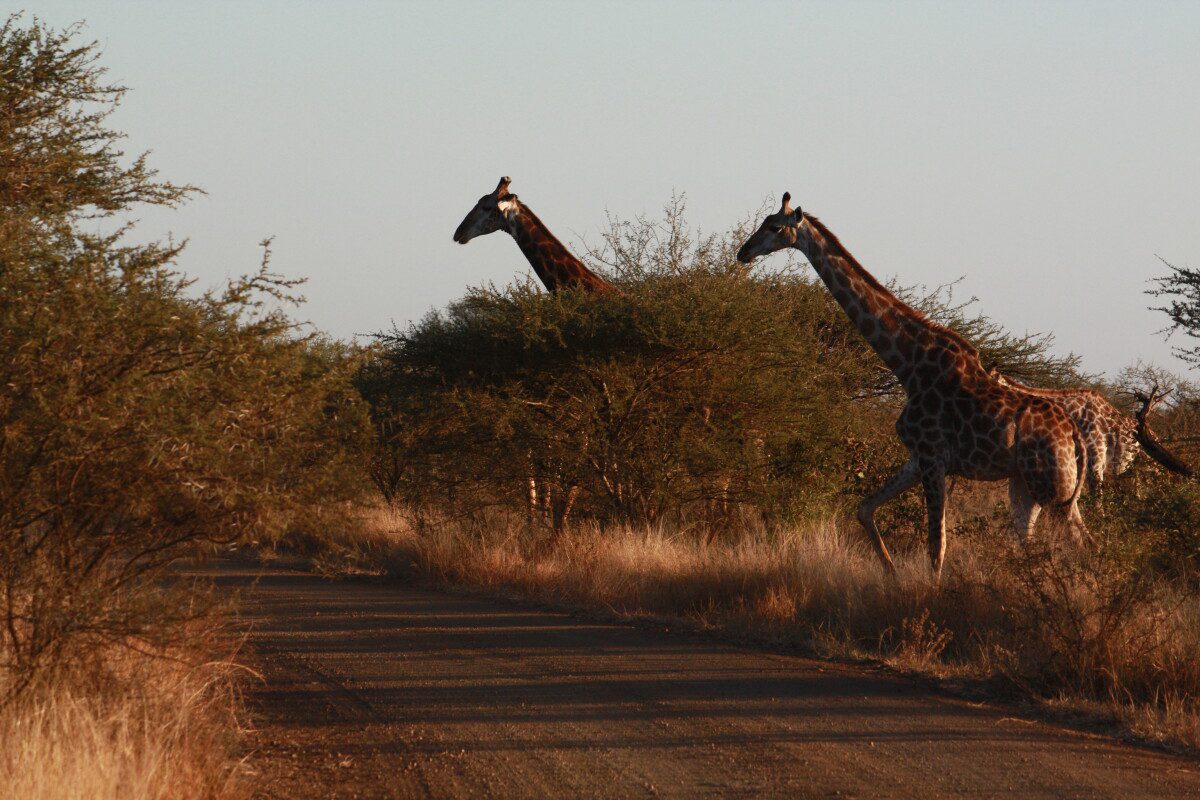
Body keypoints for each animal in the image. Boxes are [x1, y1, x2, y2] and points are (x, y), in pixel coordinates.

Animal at [734, 193, 1094, 575]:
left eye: (774, 227)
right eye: (762, 222)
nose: (743, 252)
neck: (908, 364)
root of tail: (1074, 436)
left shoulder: (934, 458)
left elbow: (937, 546)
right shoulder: (916, 457)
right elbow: (864, 508)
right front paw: (891, 573)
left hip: (1053, 489)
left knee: (1084, 544)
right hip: (1027, 486)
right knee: (1038, 542)